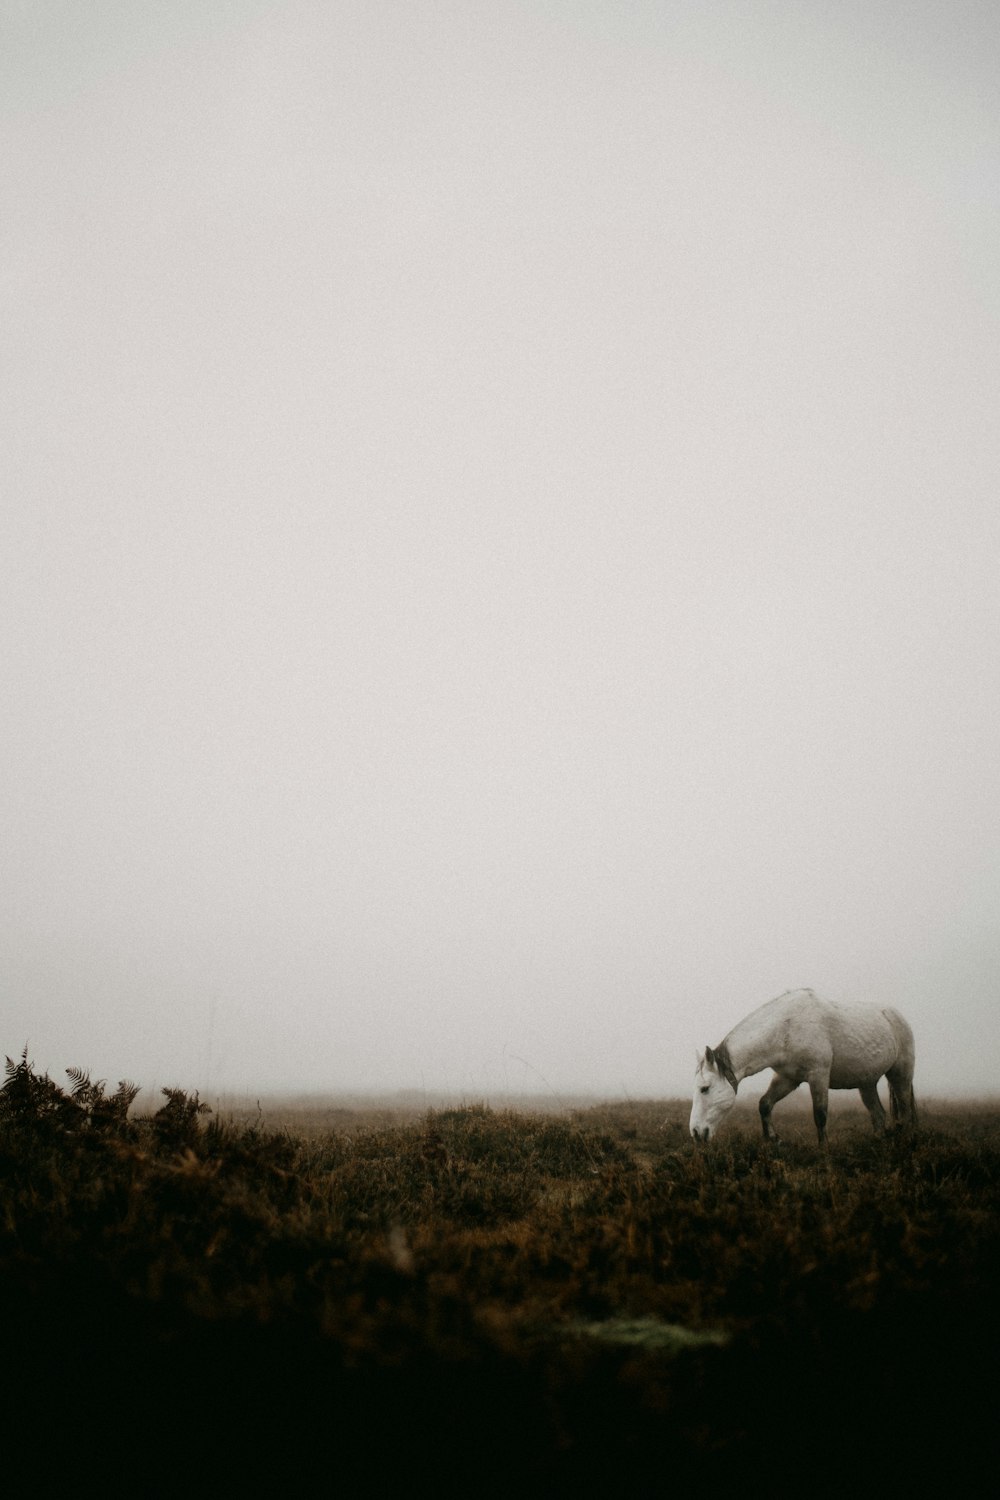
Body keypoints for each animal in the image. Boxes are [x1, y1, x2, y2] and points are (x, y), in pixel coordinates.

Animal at [692, 990, 917, 1140]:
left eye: (705, 1089)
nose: (695, 1132)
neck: (786, 1027)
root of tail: (897, 1017)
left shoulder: (818, 1075)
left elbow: (820, 1115)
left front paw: (824, 1153)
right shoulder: (788, 1078)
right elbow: (764, 1104)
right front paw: (772, 1139)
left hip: (900, 1075)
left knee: (905, 1111)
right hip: (866, 1083)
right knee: (878, 1115)